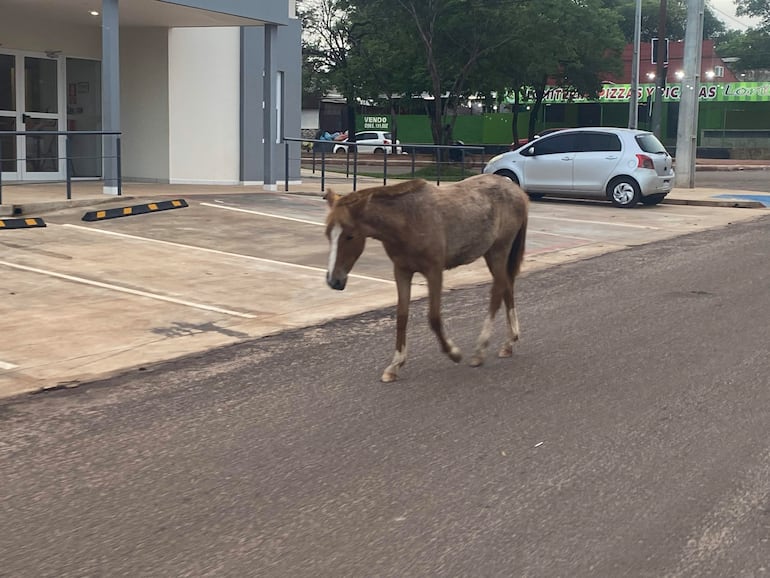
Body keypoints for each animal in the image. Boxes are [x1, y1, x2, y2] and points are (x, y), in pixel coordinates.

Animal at [324, 173, 529, 382]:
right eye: (328, 234)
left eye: (350, 236)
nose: (334, 280)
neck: (408, 219)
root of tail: (517, 191)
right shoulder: (402, 271)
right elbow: (402, 316)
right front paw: (395, 365)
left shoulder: (434, 271)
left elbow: (434, 317)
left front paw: (453, 352)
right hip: (491, 254)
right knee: (506, 287)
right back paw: (509, 343)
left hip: (499, 250)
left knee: (497, 291)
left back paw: (480, 351)